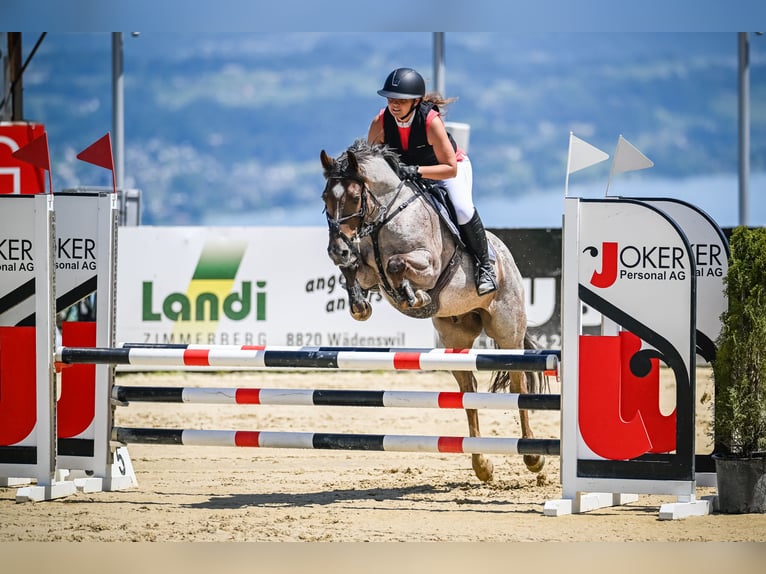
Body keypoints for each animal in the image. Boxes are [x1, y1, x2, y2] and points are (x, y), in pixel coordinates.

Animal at [319, 139, 545, 482]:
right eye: (325, 198)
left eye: (355, 197)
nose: (336, 249)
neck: (382, 219)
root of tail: (508, 259)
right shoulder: (369, 269)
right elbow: (357, 269)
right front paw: (360, 304)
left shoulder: (429, 264)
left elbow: (396, 264)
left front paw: (415, 297)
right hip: (455, 337)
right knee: (468, 391)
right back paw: (482, 465)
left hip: (508, 331)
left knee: (518, 384)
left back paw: (533, 457)